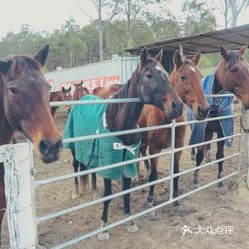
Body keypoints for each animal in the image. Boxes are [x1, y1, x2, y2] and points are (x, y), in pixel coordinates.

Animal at [64, 47, 183, 240]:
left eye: (166, 73)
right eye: (149, 75)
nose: (177, 106)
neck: (117, 123)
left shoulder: (128, 160)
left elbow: (126, 191)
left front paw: (130, 221)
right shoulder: (109, 162)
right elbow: (108, 194)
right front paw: (104, 227)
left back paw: (93, 191)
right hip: (75, 149)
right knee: (76, 167)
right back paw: (76, 192)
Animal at [138, 49, 210, 214]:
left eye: (200, 76)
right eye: (183, 77)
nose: (203, 110)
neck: (166, 115)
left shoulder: (177, 147)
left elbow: (176, 174)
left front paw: (176, 201)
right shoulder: (155, 149)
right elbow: (154, 176)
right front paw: (150, 203)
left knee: (141, 152)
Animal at [190, 45, 249, 189]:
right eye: (234, 69)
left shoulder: (222, 132)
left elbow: (220, 155)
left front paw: (221, 180)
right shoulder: (204, 130)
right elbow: (199, 155)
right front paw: (195, 180)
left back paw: (208, 158)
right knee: (196, 146)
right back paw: (193, 155)